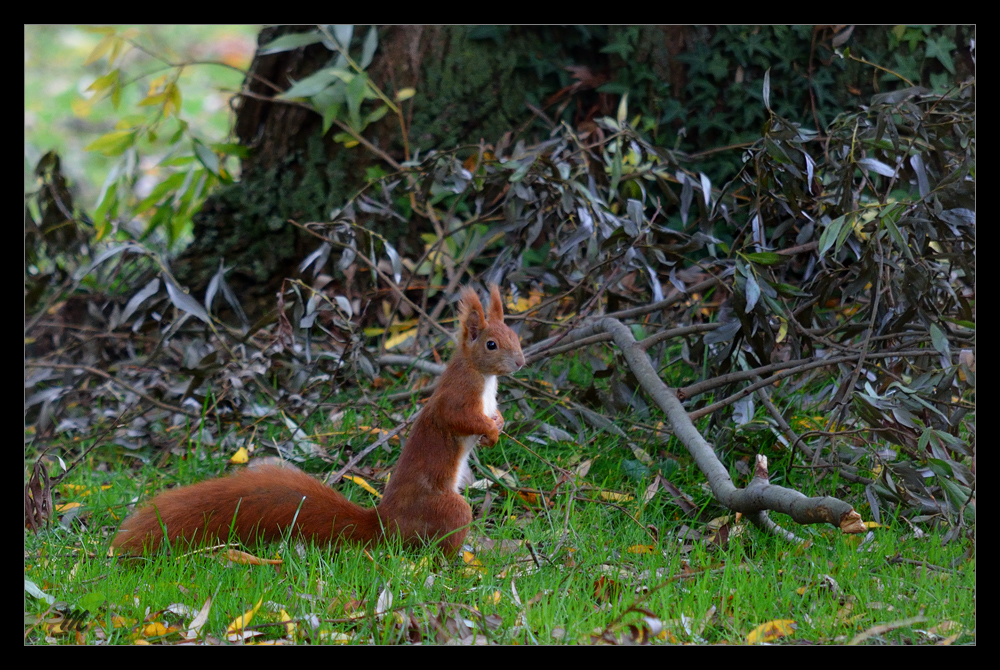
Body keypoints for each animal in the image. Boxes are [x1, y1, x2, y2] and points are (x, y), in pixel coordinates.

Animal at [111, 286, 524, 560]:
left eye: (515, 336)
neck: (482, 377)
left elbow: (492, 415)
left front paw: (498, 423)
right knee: (437, 543)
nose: (521, 361)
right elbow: (459, 419)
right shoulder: (456, 397)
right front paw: (489, 431)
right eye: (491, 344)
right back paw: (464, 561)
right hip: (445, 508)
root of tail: (385, 525)